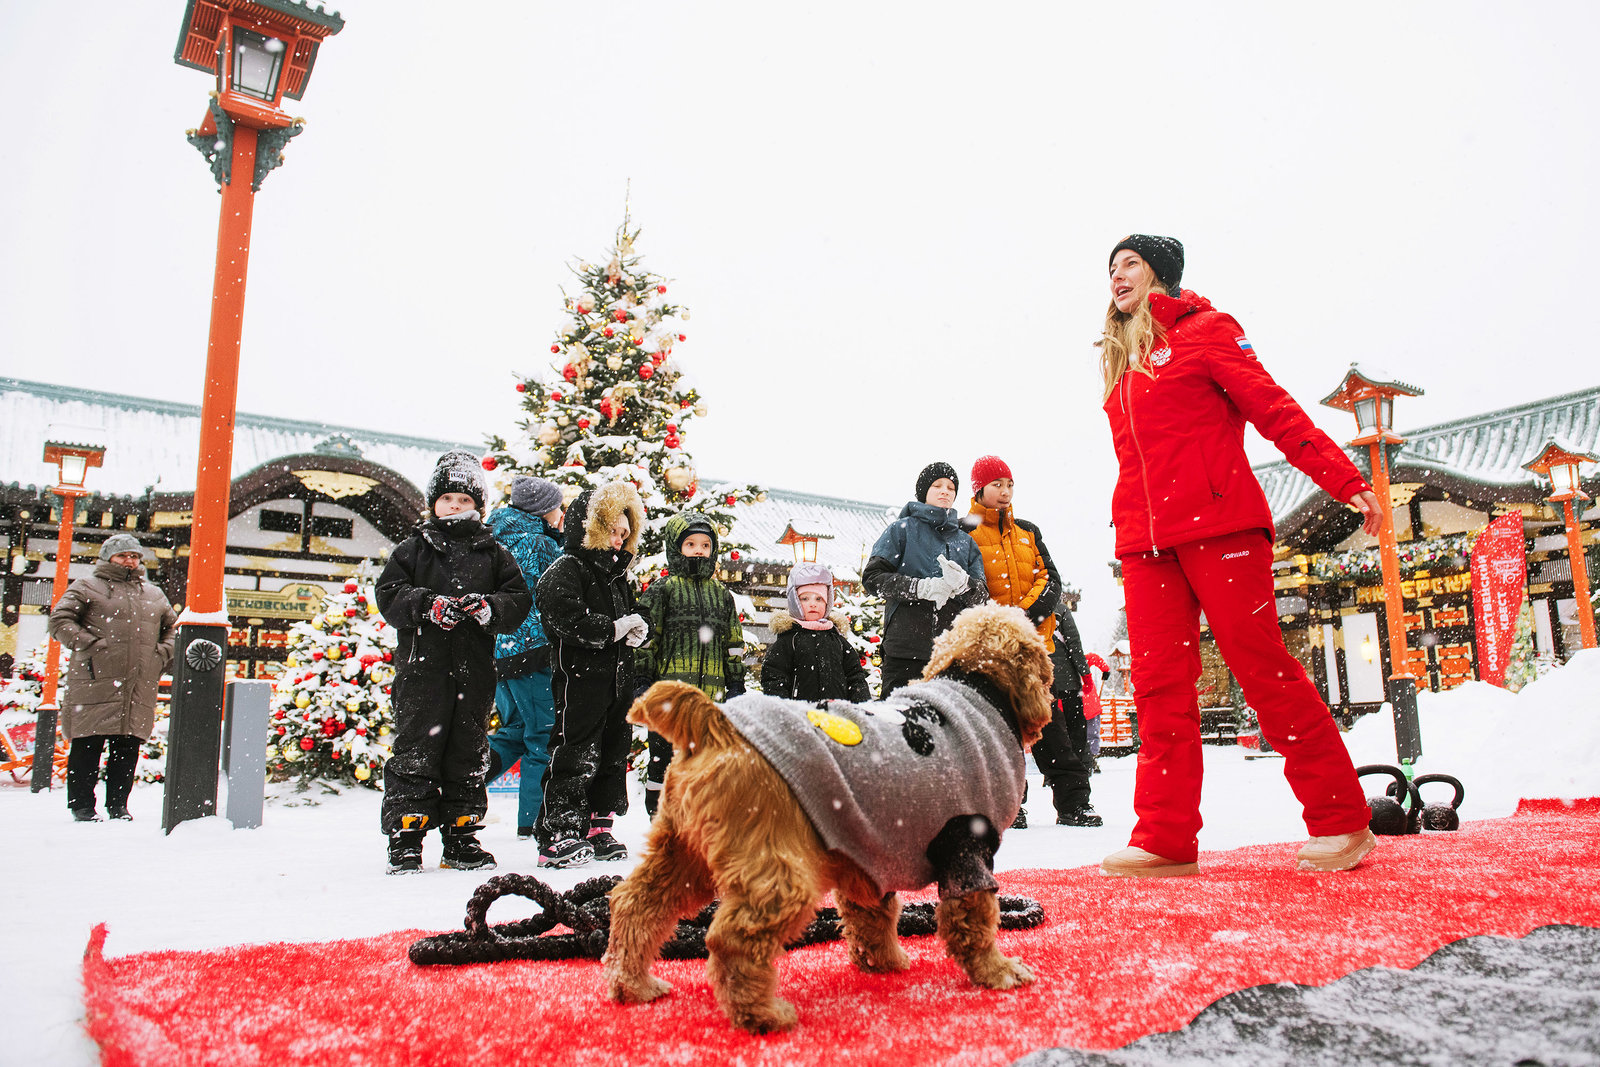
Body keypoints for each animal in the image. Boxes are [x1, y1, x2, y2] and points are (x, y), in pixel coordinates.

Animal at [604, 604, 1056, 1030]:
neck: (975, 686)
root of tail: (714, 722)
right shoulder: (967, 843)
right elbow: (975, 920)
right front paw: (999, 972)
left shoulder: (870, 851)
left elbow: (872, 916)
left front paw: (884, 962)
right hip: (777, 866)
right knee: (734, 937)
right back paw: (762, 1014)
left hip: (682, 852)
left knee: (635, 904)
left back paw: (634, 984)